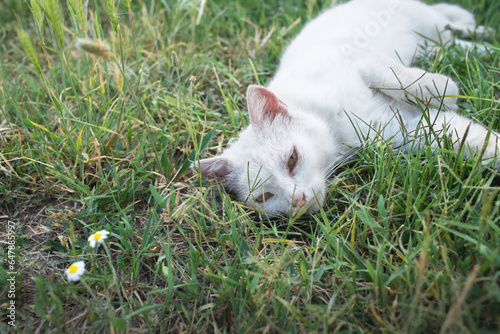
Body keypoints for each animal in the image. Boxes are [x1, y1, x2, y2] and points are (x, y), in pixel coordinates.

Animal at [190, 0, 496, 217]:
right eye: (264, 198)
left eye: (292, 159)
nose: (298, 200)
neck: (337, 131)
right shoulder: (407, 129)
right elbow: (476, 141)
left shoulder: (358, 58)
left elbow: (400, 81)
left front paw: (443, 88)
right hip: (432, 40)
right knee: (452, 43)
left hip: (427, 23)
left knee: (453, 26)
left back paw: (485, 38)